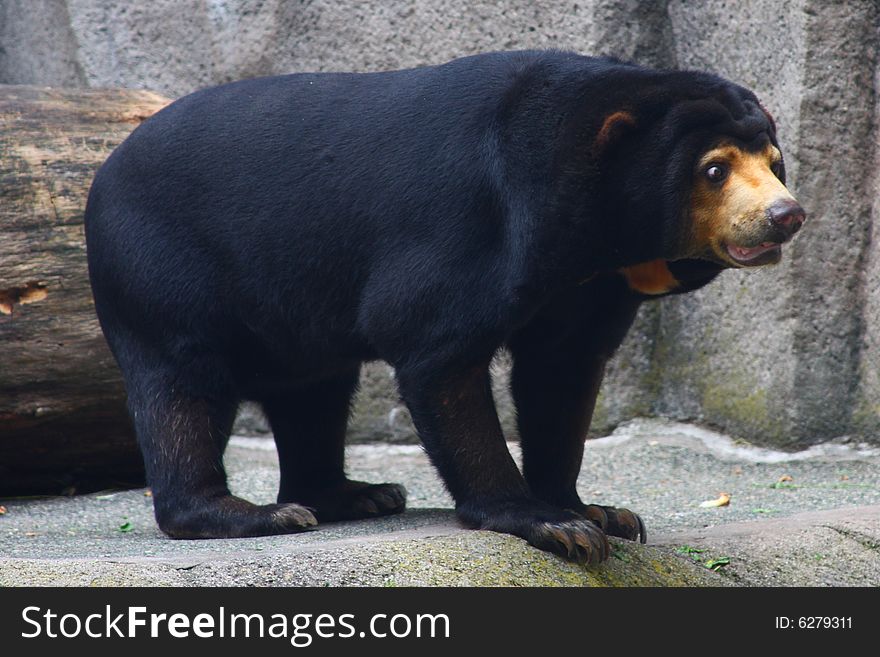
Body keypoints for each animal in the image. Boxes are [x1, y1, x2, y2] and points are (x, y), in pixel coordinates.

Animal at [84, 51, 804, 564]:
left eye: (773, 162)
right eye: (713, 170)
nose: (786, 215)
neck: (594, 234)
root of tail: (103, 171)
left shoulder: (586, 285)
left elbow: (562, 377)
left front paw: (598, 511)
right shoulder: (472, 229)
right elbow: (437, 352)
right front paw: (549, 522)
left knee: (313, 391)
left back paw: (354, 494)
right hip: (163, 272)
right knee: (184, 388)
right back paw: (252, 514)